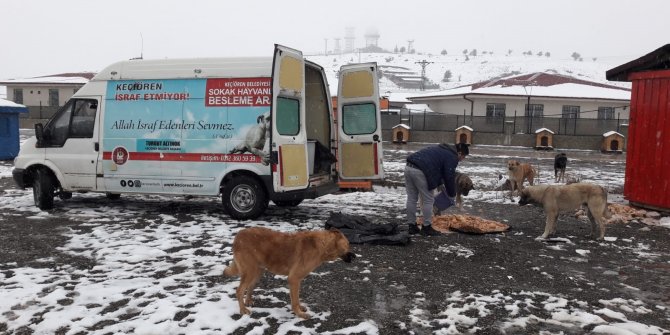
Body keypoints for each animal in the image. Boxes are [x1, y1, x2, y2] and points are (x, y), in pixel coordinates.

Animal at [223, 228, 354, 320]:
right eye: (348, 245)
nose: (355, 257)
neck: (322, 245)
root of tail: (238, 236)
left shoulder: (296, 280)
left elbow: (297, 299)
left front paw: (300, 309)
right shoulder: (294, 279)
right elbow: (295, 300)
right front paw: (299, 314)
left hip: (257, 272)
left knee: (249, 287)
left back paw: (248, 301)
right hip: (250, 271)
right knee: (239, 291)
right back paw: (243, 310)